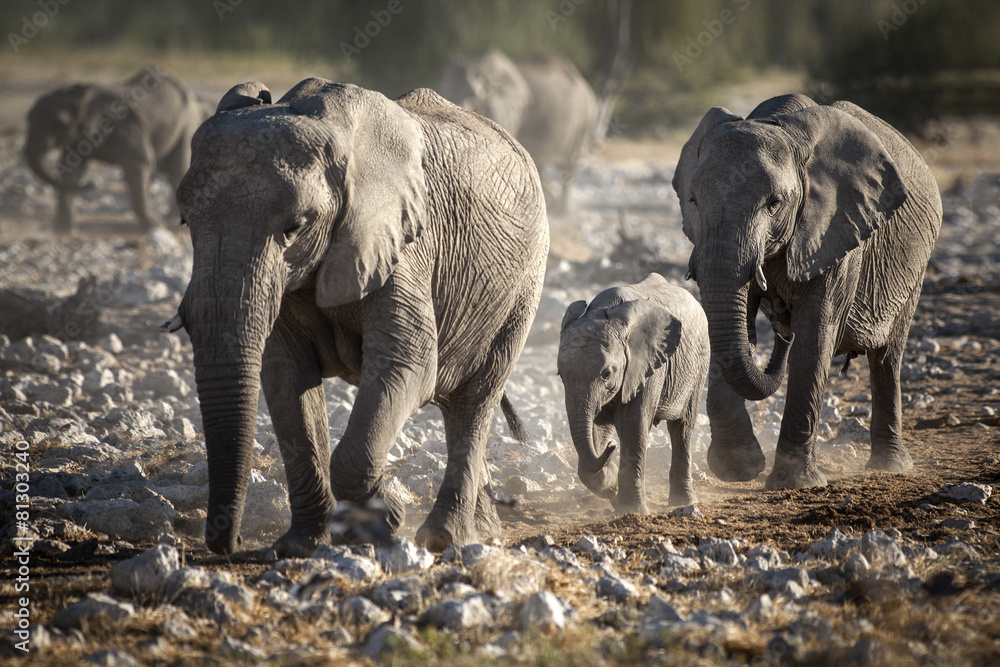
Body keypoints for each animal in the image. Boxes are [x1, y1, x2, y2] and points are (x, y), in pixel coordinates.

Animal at [25, 67, 206, 232]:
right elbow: (71, 171)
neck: (79, 95)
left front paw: (155, 225)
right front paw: (63, 230)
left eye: (59, 124)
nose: (93, 184)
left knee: (176, 168)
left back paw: (170, 222)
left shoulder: (126, 127)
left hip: (187, 121)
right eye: (28, 118)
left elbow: (139, 163)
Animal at [168, 78, 548, 556]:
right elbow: (286, 376)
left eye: (295, 226)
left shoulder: (404, 243)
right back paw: (483, 529)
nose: (230, 543)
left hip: (524, 285)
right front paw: (300, 546)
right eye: (185, 221)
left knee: (475, 400)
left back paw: (445, 538)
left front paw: (384, 520)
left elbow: (408, 363)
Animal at [557, 273, 710, 512]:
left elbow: (633, 424)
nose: (612, 446)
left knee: (682, 428)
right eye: (560, 375)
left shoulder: (647, 367)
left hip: (700, 362)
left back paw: (684, 502)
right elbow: (597, 426)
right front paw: (611, 487)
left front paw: (632, 511)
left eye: (606, 374)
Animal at [672, 93, 942, 490]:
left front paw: (794, 483)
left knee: (887, 357)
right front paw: (740, 469)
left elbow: (814, 338)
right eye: (692, 200)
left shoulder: (837, 229)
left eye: (774, 203)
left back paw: (890, 466)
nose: (779, 335)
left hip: (915, 265)